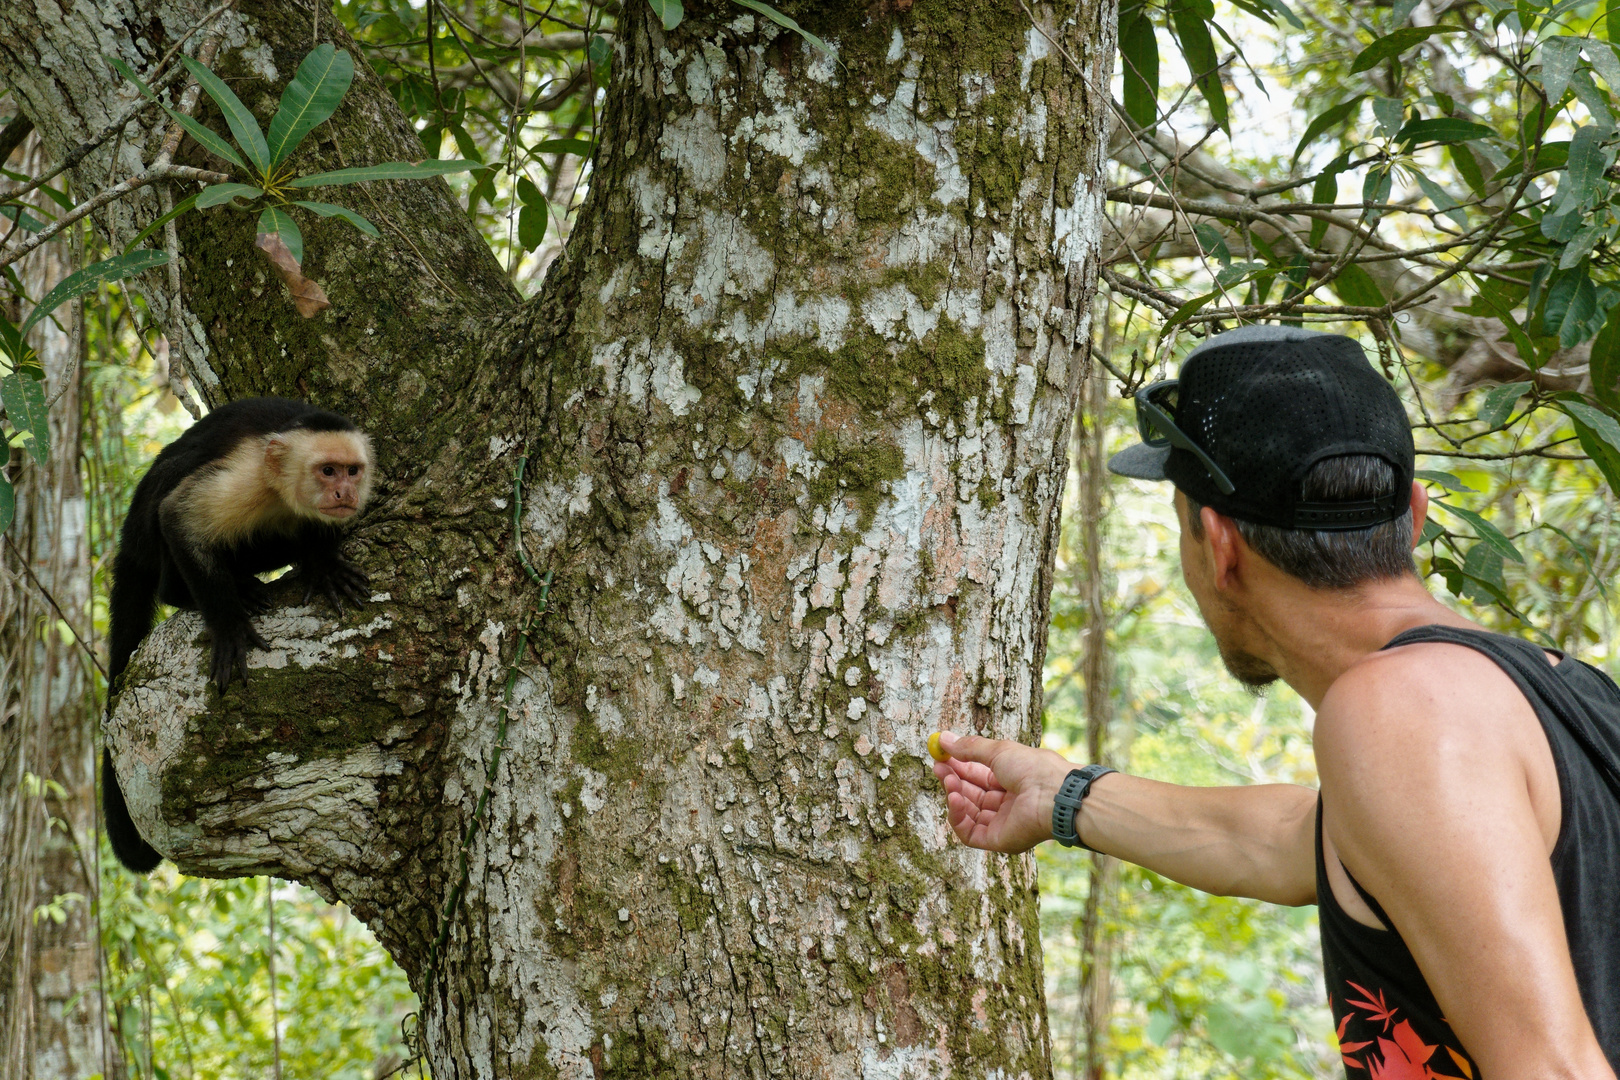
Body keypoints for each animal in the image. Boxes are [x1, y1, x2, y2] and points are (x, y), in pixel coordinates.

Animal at [102, 395, 374, 867]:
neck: (282, 488)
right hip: (146, 535)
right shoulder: (248, 475)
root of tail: (128, 541)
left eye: (352, 470)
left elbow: (318, 530)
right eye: (327, 471)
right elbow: (179, 517)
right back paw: (201, 590)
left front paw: (323, 564)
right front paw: (229, 626)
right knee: (172, 498)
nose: (346, 492)